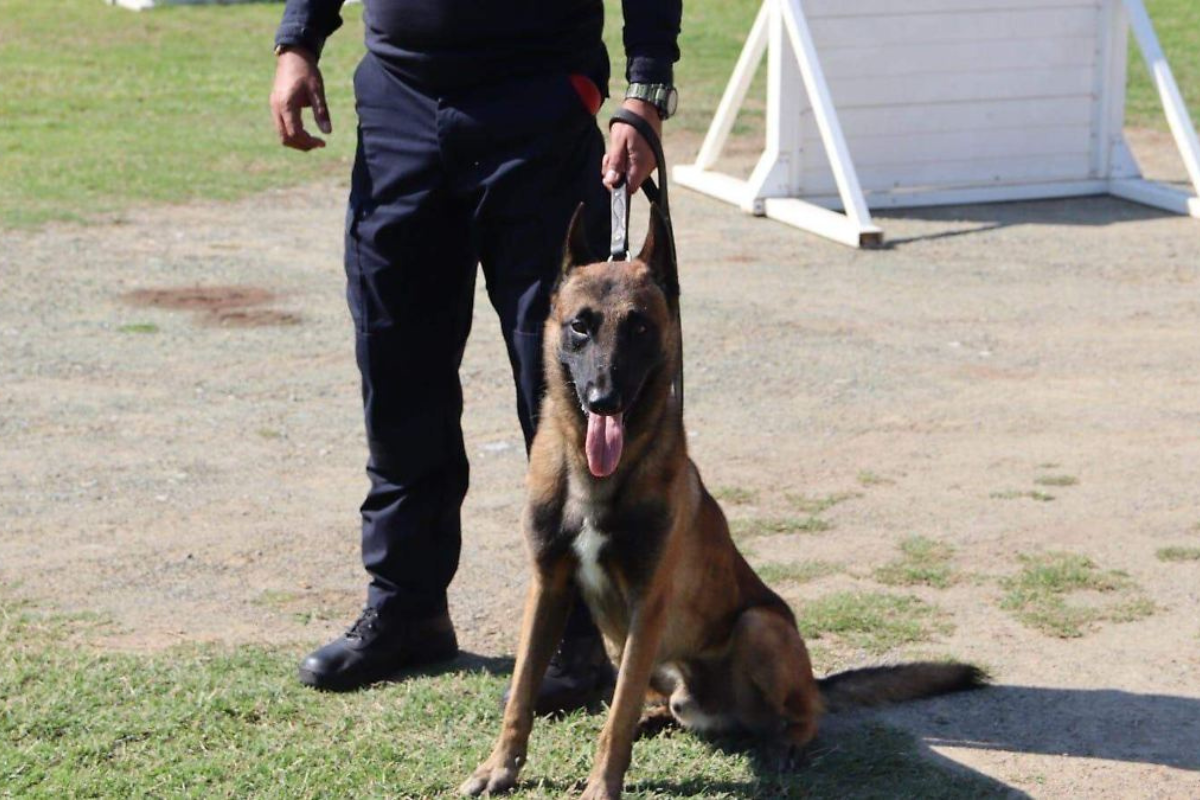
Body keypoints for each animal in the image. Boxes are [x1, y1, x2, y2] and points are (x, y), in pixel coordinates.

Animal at [458, 208, 984, 800]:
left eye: (639, 327)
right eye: (580, 326)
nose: (603, 399)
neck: (595, 476)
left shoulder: (647, 603)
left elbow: (614, 718)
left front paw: (601, 785)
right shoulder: (548, 587)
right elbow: (526, 690)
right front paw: (499, 768)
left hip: (758, 628)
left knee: (804, 713)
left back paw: (785, 743)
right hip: (645, 656)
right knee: (654, 703)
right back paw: (657, 718)